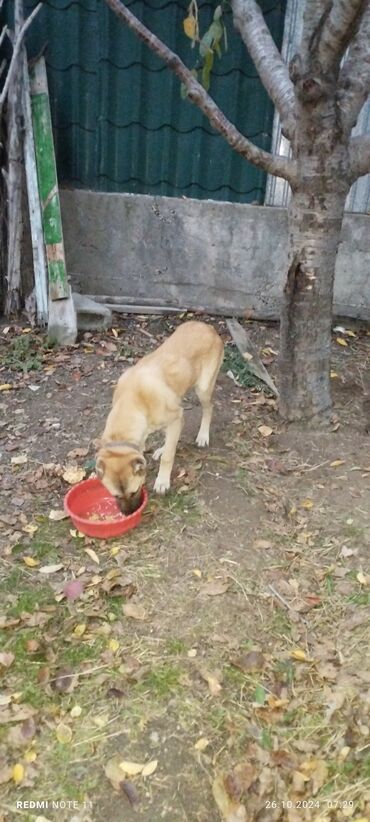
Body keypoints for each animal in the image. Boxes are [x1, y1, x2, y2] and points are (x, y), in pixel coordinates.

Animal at [95, 322, 223, 516]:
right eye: (115, 495)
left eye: (134, 492)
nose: (128, 515)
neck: (133, 400)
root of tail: (208, 327)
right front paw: (162, 450)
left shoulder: (175, 418)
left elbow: (169, 456)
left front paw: (162, 481)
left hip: (203, 388)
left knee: (209, 409)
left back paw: (203, 436)